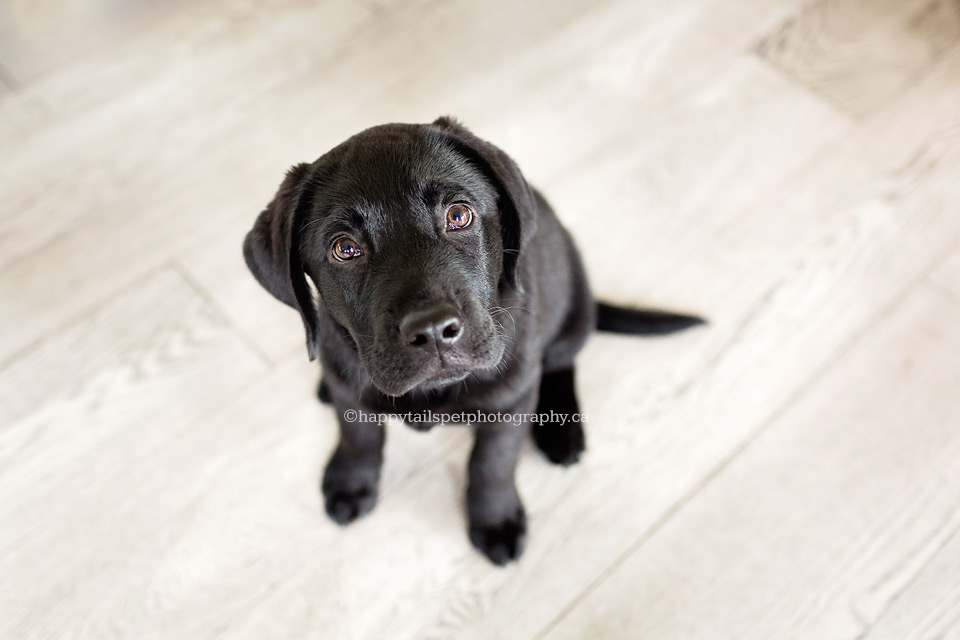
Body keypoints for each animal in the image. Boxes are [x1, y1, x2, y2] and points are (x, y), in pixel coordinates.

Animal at [244, 117, 700, 564]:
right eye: (344, 248)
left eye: (459, 215)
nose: (432, 331)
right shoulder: (351, 386)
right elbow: (359, 434)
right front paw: (351, 481)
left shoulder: (511, 399)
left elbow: (491, 463)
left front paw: (496, 520)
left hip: (573, 314)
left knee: (560, 362)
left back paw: (562, 432)